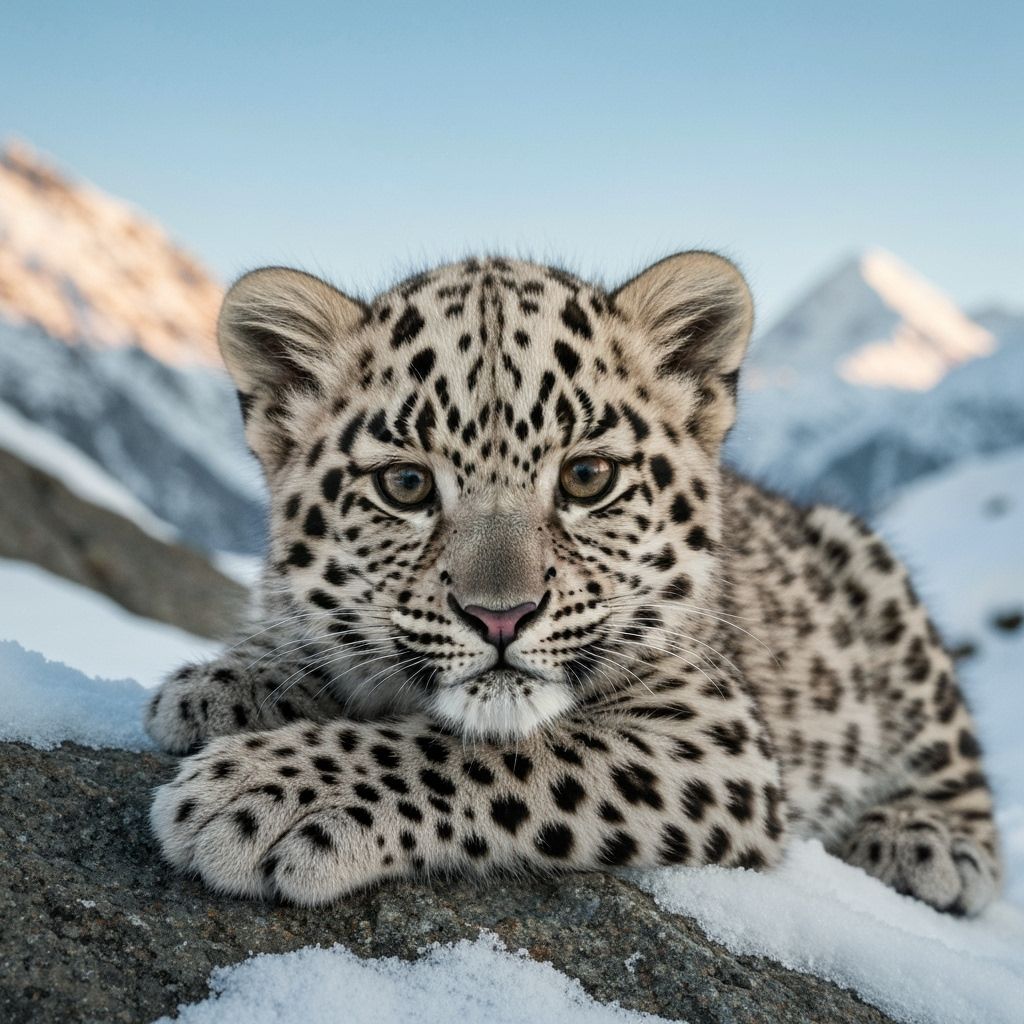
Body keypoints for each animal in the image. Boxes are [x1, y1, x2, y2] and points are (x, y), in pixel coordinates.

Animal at [146, 251, 1001, 914]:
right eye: (406, 486)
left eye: (588, 477)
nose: (501, 617)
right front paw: (227, 684)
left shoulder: (712, 735)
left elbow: (495, 755)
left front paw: (267, 794)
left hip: (874, 574)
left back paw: (926, 842)